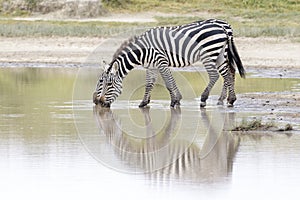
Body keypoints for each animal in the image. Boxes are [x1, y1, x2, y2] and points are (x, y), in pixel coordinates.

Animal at [92, 18, 245, 108]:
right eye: (100, 82)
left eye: (108, 84)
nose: (98, 102)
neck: (142, 51)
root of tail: (223, 27)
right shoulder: (152, 66)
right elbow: (149, 84)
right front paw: (144, 103)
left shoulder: (161, 62)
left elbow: (168, 82)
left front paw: (175, 100)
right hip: (220, 54)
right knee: (228, 73)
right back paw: (229, 99)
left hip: (209, 53)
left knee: (215, 75)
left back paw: (204, 99)